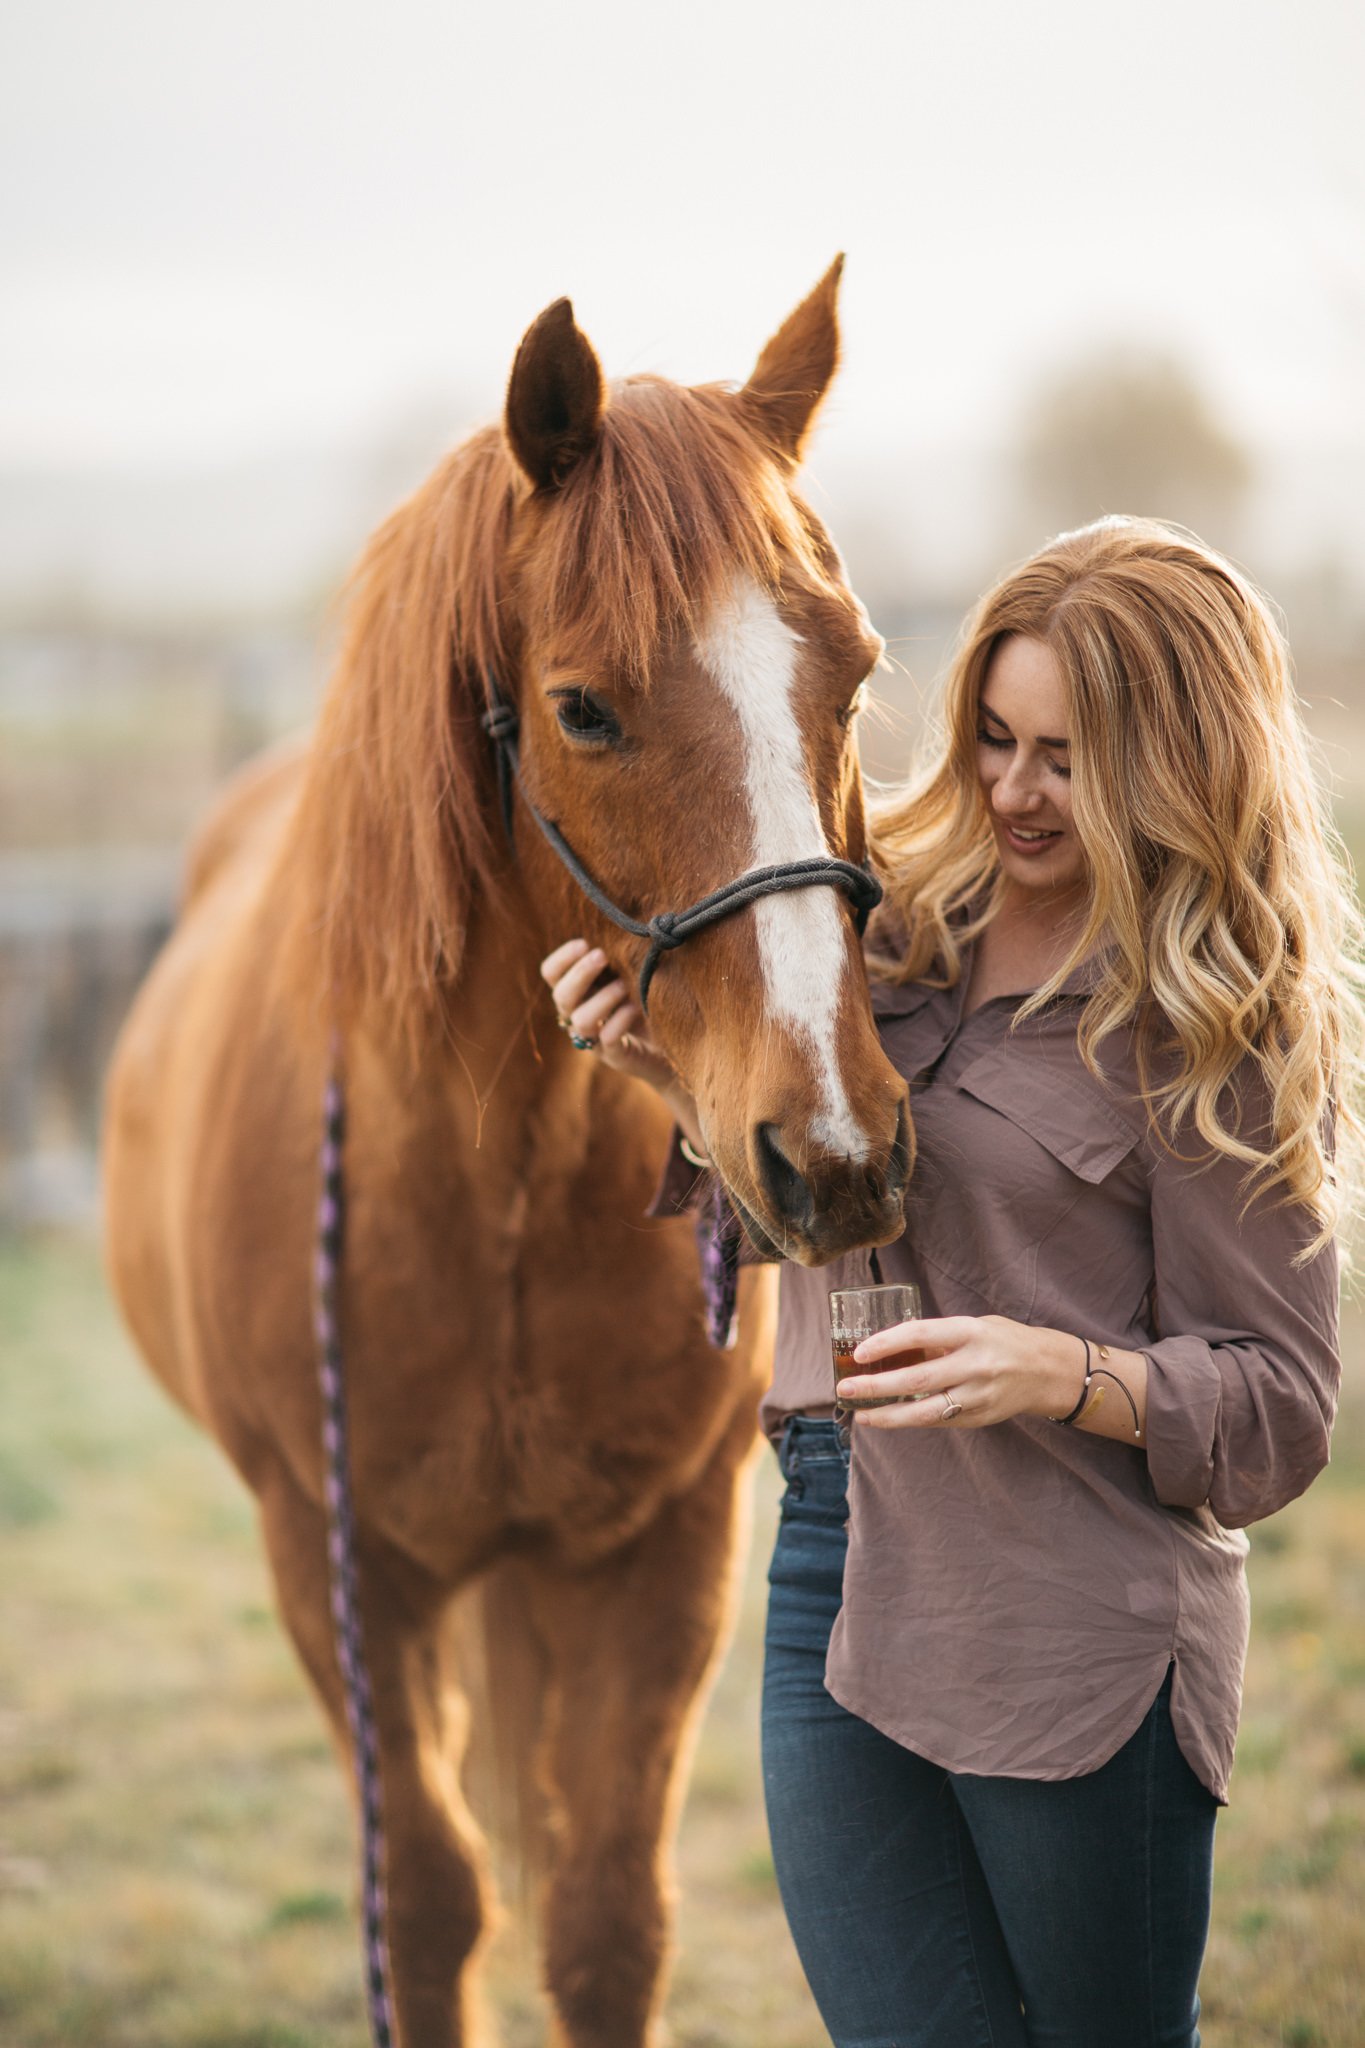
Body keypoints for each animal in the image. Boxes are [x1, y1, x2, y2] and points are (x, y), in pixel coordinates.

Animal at [102, 257, 912, 2047]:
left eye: (857, 673)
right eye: (581, 709)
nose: (833, 1148)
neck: (487, 1193)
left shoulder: (659, 1552)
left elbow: (606, 1918)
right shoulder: (339, 1561)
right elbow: (428, 1900)